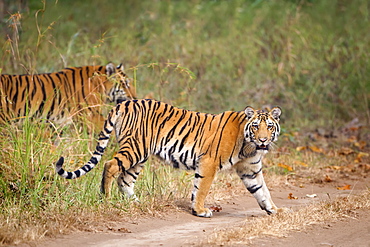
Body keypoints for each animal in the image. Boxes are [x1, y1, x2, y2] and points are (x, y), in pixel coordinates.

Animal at [55, 99, 286, 217]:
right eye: (255, 126)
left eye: (270, 126)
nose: (263, 140)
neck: (249, 147)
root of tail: (125, 102)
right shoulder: (208, 163)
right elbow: (201, 188)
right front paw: (200, 210)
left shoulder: (251, 170)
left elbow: (262, 190)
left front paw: (274, 209)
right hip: (135, 147)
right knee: (111, 165)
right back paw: (107, 198)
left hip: (140, 156)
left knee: (125, 179)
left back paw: (135, 203)